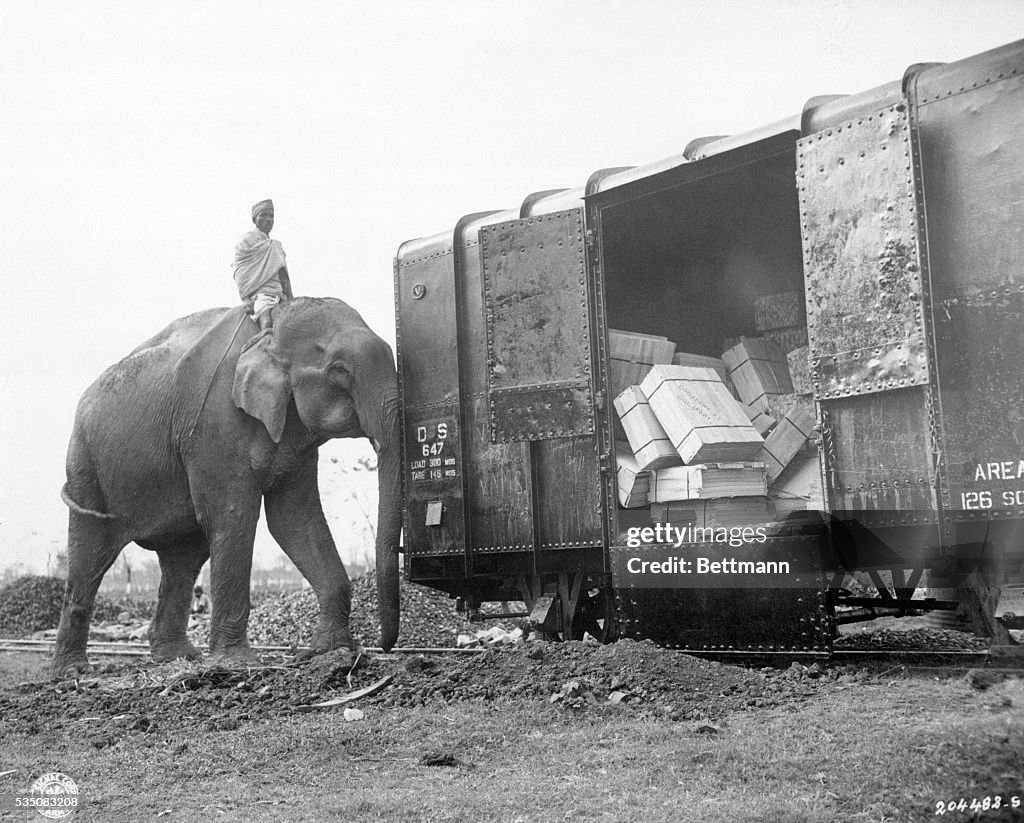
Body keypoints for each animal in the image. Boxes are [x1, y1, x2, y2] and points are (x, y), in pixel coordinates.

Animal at [52, 294, 399, 675]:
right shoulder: (214, 424)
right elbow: (233, 516)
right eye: (340, 370)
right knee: (91, 555)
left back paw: (177, 657)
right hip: (85, 467)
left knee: (183, 559)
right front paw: (237, 662)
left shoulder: (295, 435)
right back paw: (73, 671)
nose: (385, 647)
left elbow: (293, 519)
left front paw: (329, 651)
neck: (271, 328)